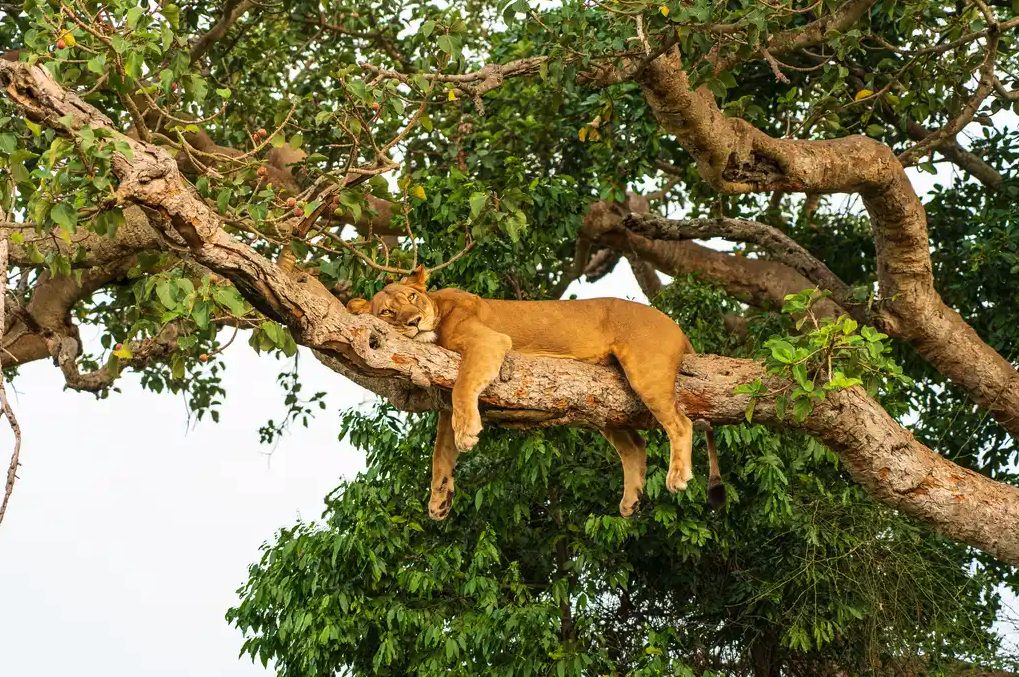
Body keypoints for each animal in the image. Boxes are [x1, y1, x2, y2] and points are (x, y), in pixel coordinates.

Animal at [347, 265, 724, 520]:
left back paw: (677, 477)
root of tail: (675, 326)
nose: (415, 322)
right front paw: (439, 499)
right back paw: (631, 500)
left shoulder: (488, 342)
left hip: (646, 372)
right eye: (387, 312)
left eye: (412, 297)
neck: (437, 307)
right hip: (603, 400)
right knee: (635, 445)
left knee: (680, 424)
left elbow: (463, 389)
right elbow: (441, 450)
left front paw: (467, 432)